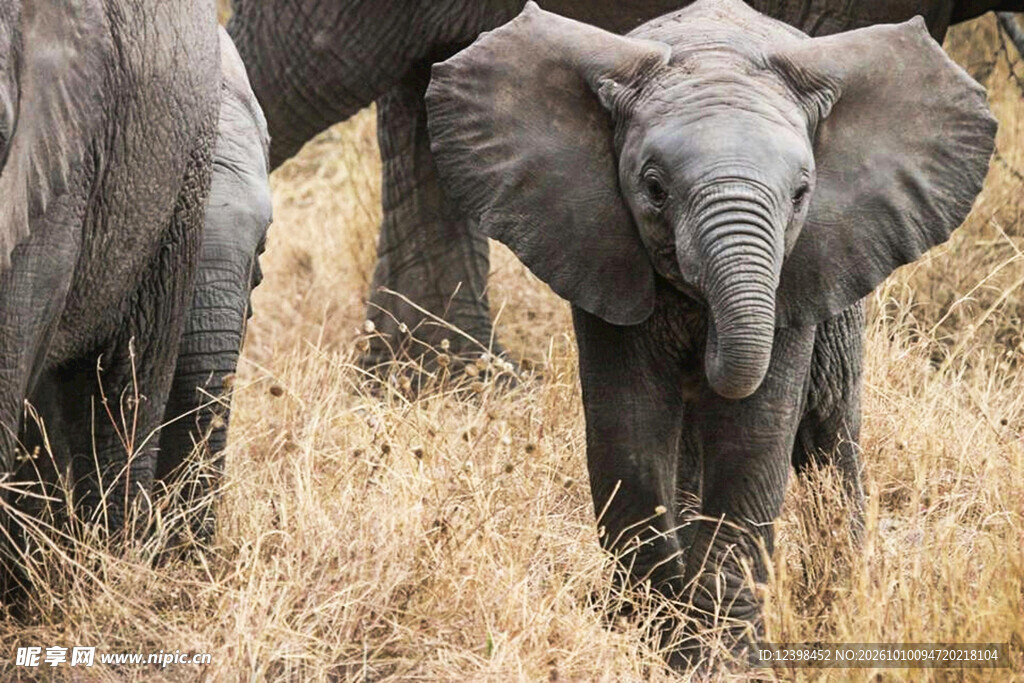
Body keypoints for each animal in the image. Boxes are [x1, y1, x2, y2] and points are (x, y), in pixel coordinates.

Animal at [423, 0, 996, 659]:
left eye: (801, 194)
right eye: (653, 188)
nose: (707, 342)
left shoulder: (799, 276)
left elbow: (754, 434)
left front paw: (722, 653)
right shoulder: (597, 248)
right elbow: (629, 428)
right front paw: (650, 631)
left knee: (831, 434)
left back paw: (843, 596)